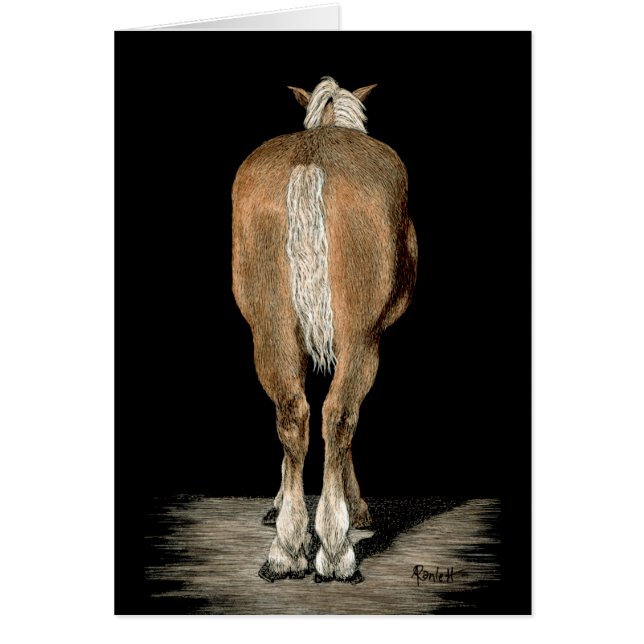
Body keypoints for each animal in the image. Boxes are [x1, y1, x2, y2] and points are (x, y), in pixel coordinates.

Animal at [231, 76, 418, 583]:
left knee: (292, 413)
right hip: (362, 337)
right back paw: (335, 550)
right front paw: (358, 510)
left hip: (269, 328)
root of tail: (311, 160)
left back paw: (286, 550)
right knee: (339, 415)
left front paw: (278, 507)